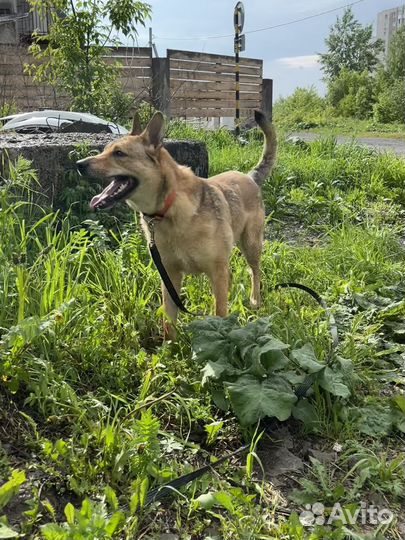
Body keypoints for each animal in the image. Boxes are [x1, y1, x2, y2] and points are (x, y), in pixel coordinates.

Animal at [77, 109, 276, 338]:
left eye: (119, 153)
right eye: (105, 150)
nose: (79, 164)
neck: (167, 209)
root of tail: (250, 177)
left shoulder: (216, 271)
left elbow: (220, 311)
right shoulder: (170, 276)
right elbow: (169, 321)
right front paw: (169, 345)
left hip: (251, 246)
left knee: (255, 273)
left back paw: (255, 301)